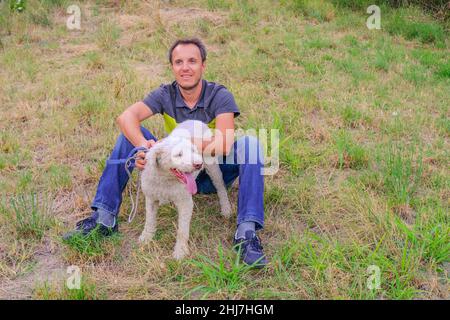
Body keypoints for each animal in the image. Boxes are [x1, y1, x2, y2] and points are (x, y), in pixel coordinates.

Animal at [139, 120, 232, 260]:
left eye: (194, 151)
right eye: (178, 154)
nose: (198, 164)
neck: (166, 179)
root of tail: (196, 120)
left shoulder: (185, 203)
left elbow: (182, 229)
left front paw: (180, 251)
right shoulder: (150, 198)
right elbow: (149, 219)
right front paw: (146, 237)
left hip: (212, 164)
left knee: (220, 186)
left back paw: (226, 208)